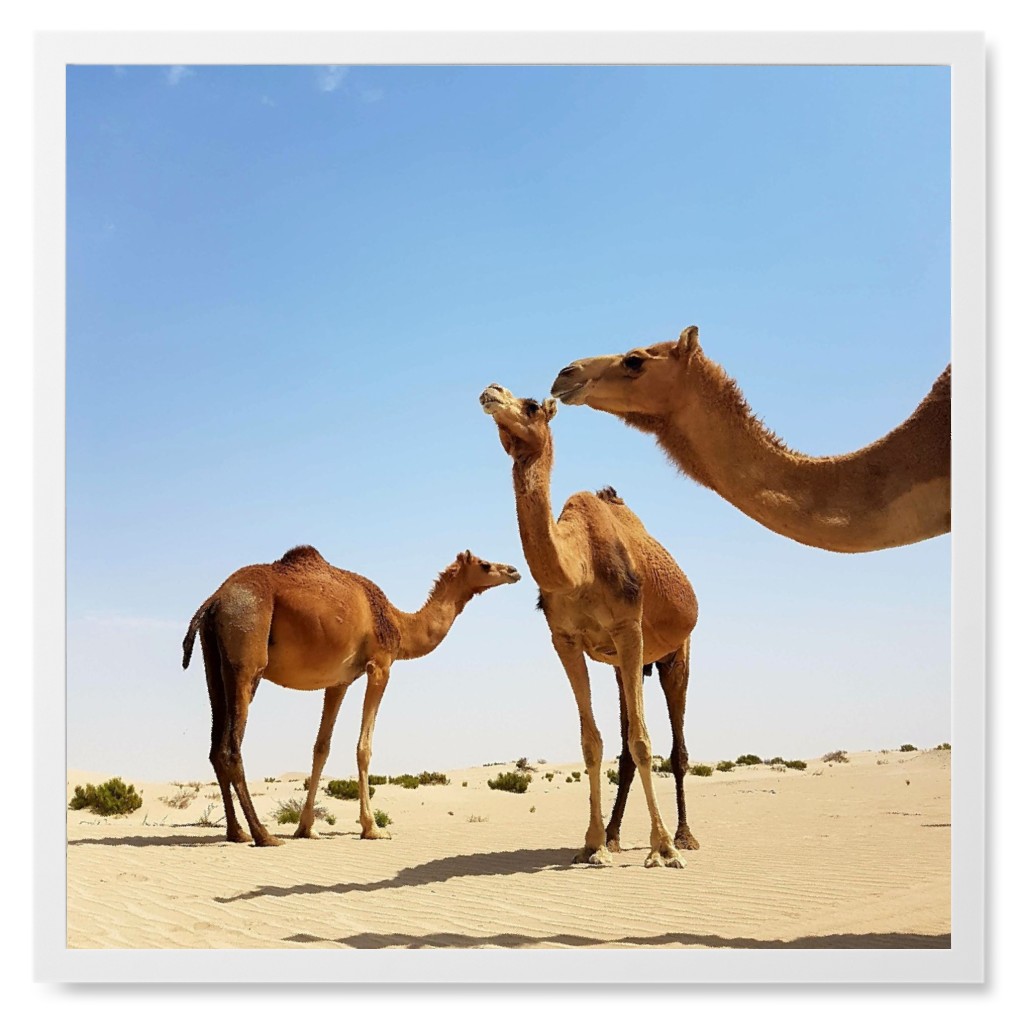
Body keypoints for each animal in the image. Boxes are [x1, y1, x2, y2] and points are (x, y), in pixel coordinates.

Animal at [182, 545, 520, 847]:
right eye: (485, 564)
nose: (514, 571)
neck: (399, 624)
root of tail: (213, 601)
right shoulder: (380, 666)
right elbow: (364, 747)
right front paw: (373, 828)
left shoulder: (338, 681)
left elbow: (321, 748)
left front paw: (307, 828)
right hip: (247, 655)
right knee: (231, 747)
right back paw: (263, 835)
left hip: (214, 662)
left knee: (216, 747)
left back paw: (237, 833)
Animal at [480, 384, 699, 868]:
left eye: (531, 405)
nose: (490, 392)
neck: (577, 567)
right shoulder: (564, 640)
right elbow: (592, 742)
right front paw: (594, 844)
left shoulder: (629, 628)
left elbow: (643, 741)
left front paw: (662, 849)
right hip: (621, 666)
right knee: (623, 742)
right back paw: (616, 836)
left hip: (677, 653)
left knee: (676, 747)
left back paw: (685, 836)